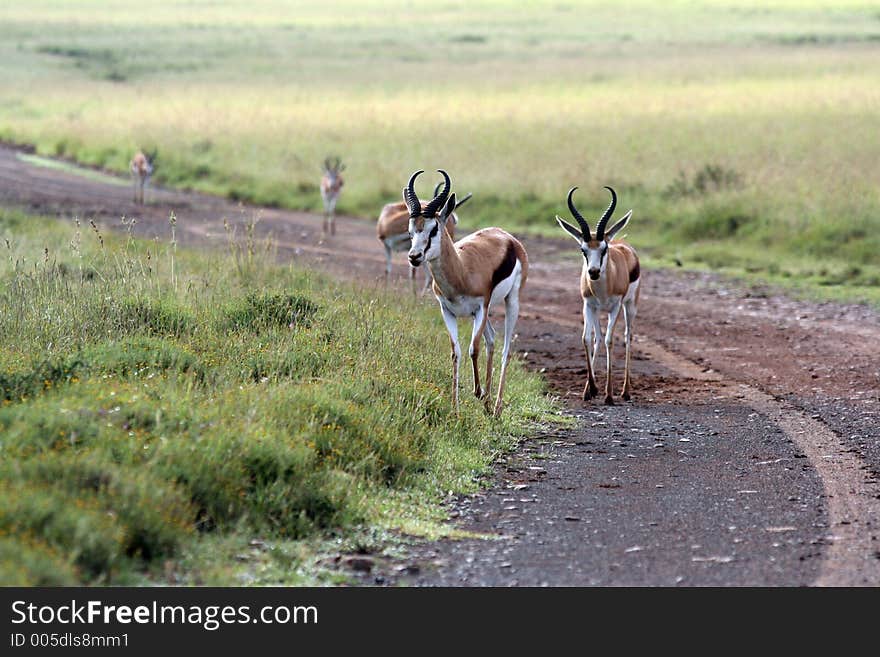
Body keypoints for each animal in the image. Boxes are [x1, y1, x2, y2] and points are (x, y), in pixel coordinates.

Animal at [408, 169, 528, 416]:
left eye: (433, 229)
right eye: (411, 229)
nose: (414, 256)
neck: (462, 271)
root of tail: (507, 236)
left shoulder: (480, 307)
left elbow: (474, 348)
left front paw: (477, 392)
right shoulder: (448, 311)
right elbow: (456, 352)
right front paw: (455, 409)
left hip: (510, 302)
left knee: (505, 349)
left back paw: (497, 406)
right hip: (484, 313)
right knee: (492, 339)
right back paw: (488, 404)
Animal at [556, 182, 640, 402]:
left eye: (604, 248)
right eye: (583, 250)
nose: (593, 272)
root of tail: (621, 241)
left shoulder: (615, 306)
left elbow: (611, 340)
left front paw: (608, 395)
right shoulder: (588, 305)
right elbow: (587, 339)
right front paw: (591, 389)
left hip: (630, 306)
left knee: (627, 336)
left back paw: (625, 391)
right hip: (597, 310)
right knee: (598, 338)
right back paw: (590, 390)